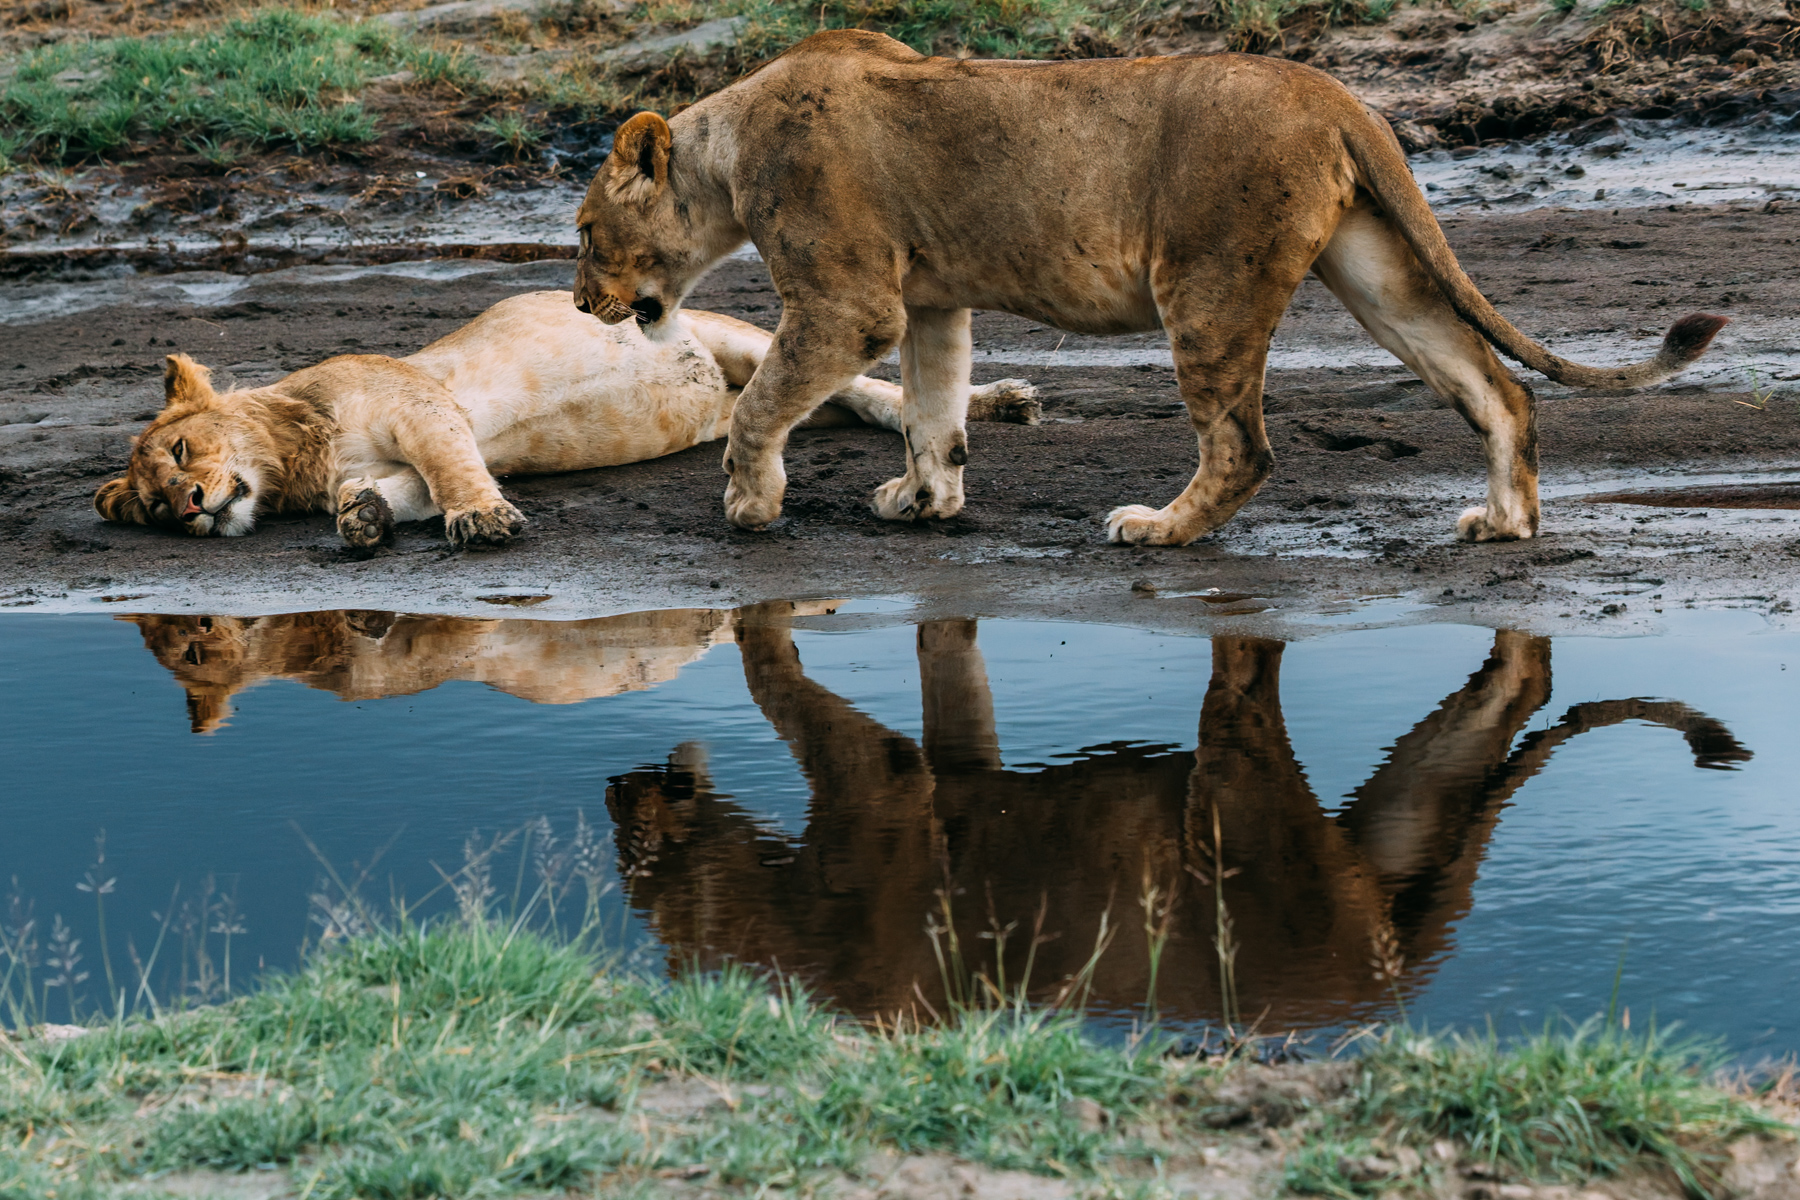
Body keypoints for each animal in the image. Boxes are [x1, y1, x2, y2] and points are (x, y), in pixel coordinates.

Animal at [93, 290, 1039, 550]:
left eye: (183, 448)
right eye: (153, 505)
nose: (189, 506)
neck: (296, 459)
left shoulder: (422, 405)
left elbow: (453, 473)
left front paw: (482, 522)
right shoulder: (391, 459)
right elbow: (403, 493)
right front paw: (362, 519)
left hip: (738, 338)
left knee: (874, 391)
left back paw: (1002, 402)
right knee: (828, 404)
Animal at [571, 31, 1726, 545]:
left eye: (583, 233)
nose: (581, 306)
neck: (726, 152)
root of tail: (1336, 91)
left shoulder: (849, 303)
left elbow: (762, 403)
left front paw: (749, 502)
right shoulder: (933, 298)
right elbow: (936, 409)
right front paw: (926, 500)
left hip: (1206, 284)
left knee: (1245, 447)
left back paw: (1161, 528)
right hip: (1375, 274)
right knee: (1499, 388)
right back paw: (1505, 523)